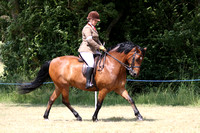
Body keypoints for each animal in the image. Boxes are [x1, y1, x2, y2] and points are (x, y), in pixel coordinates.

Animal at [19, 41, 147, 121]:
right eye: (137, 58)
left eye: (142, 59)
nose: (134, 74)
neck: (113, 64)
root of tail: (52, 61)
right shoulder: (104, 89)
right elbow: (99, 104)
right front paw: (94, 118)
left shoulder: (119, 88)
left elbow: (131, 100)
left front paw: (139, 116)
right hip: (64, 86)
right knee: (65, 101)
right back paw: (78, 116)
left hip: (59, 86)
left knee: (51, 99)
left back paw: (46, 116)